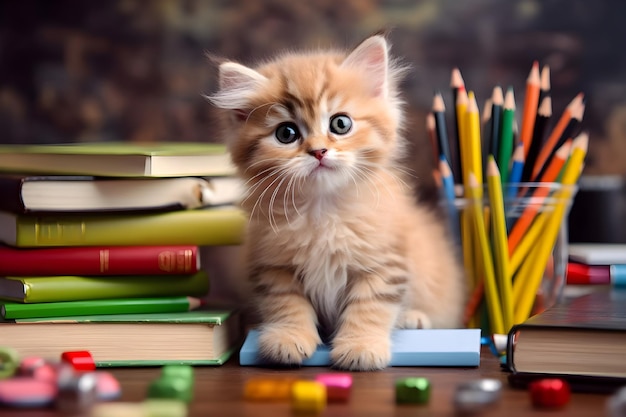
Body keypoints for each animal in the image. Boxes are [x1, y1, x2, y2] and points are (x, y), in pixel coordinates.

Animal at [208, 34, 464, 368]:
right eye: (286, 133)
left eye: (340, 124)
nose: (318, 151)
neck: (322, 209)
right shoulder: (273, 267)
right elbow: (286, 304)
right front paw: (287, 338)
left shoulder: (384, 262)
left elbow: (370, 306)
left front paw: (360, 346)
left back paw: (414, 318)